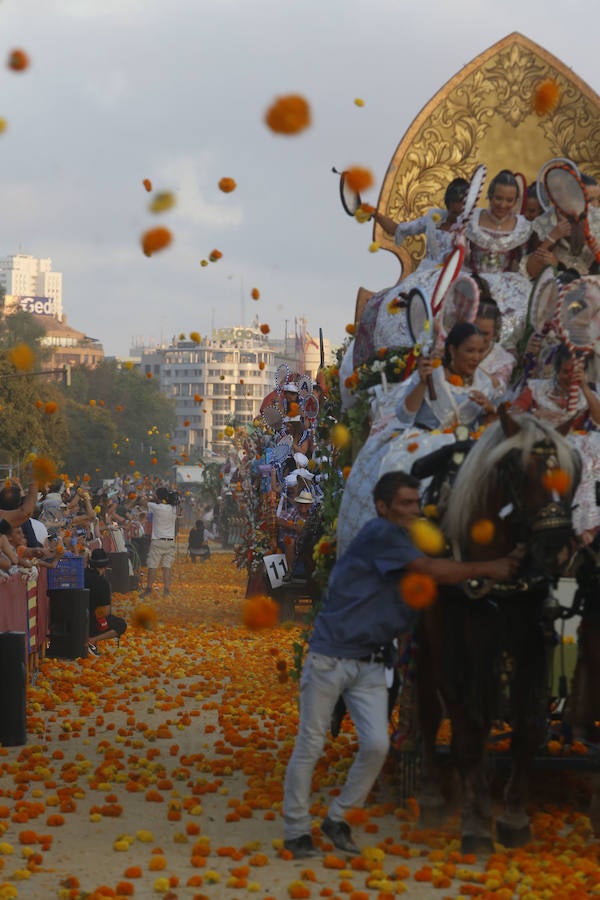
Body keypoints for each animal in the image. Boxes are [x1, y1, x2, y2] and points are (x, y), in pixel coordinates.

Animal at [414, 408, 580, 852]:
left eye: (574, 467)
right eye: (515, 468)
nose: (557, 548)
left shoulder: (532, 639)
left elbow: (527, 725)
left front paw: (513, 817)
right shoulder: (454, 645)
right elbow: (466, 729)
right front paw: (474, 824)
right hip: (422, 641)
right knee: (429, 710)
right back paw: (433, 794)